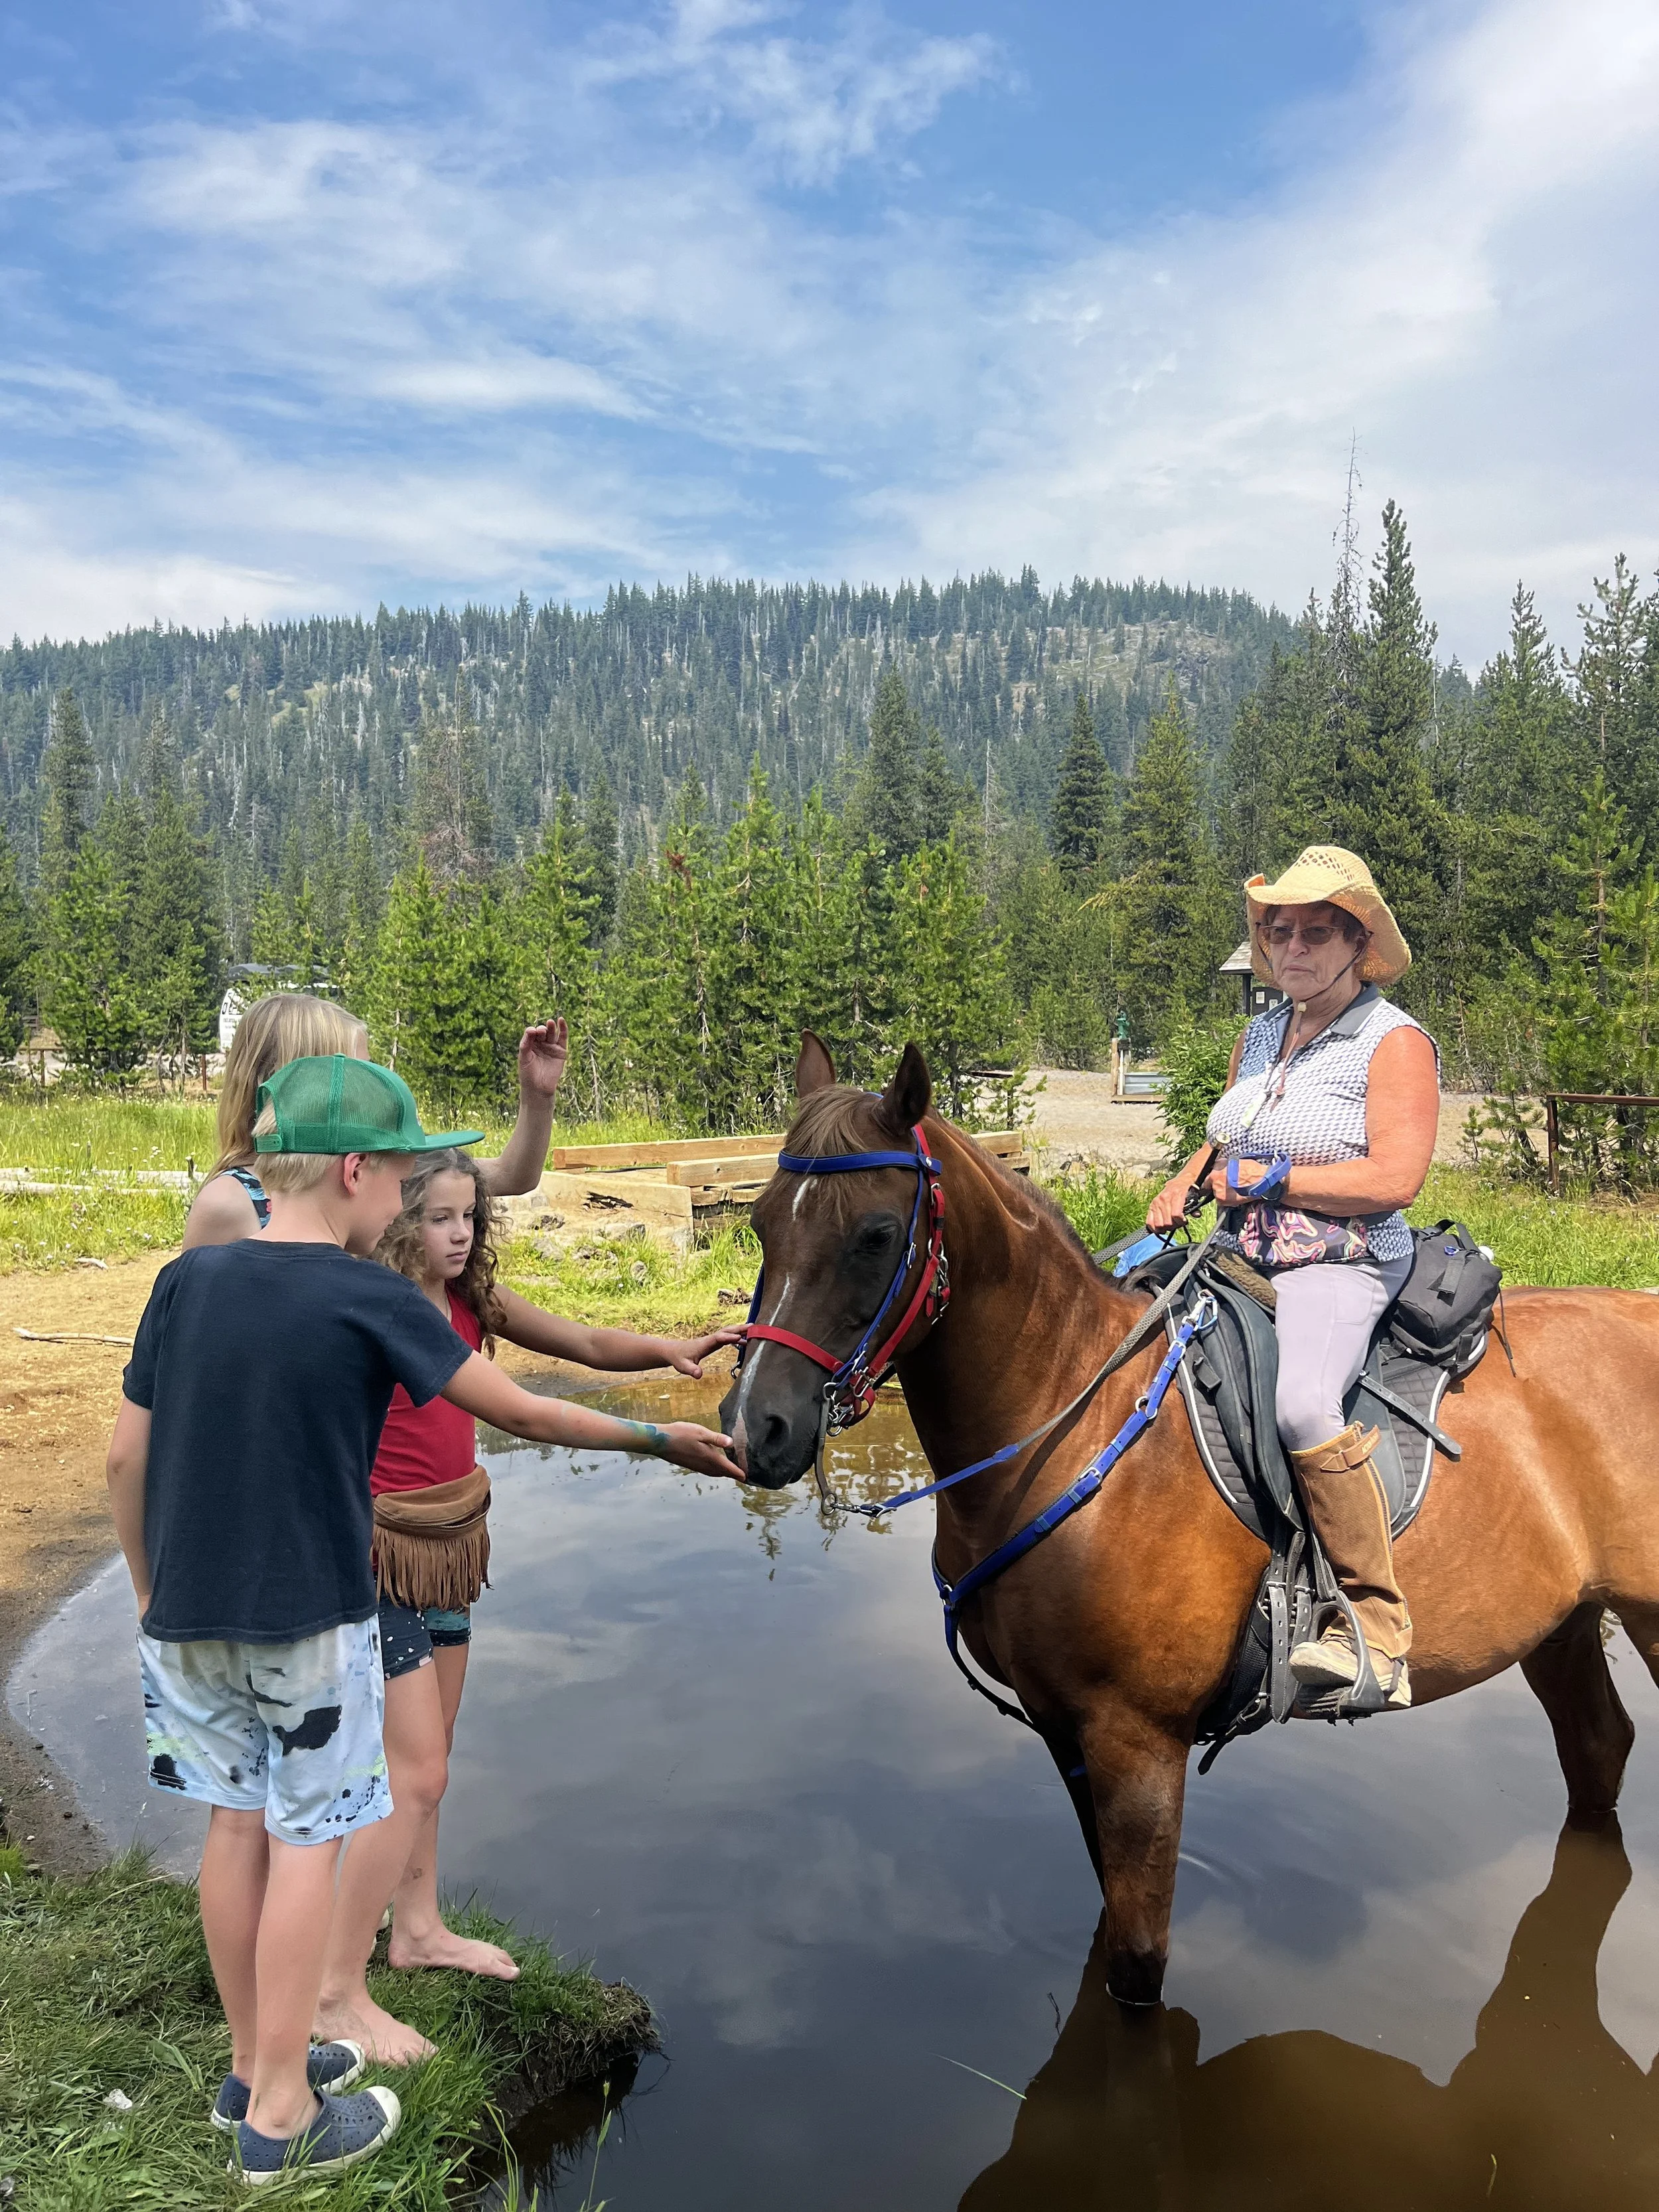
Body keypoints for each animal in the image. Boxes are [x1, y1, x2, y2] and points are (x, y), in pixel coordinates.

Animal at [719, 1032, 1659, 2006]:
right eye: (761, 1225)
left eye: (873, 1236)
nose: (756, 1427)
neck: (1067, 1421)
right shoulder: (1067, 1733)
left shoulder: (1138, 1742)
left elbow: (1137, 1964)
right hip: (1563, 1622)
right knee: (1599, 1747)